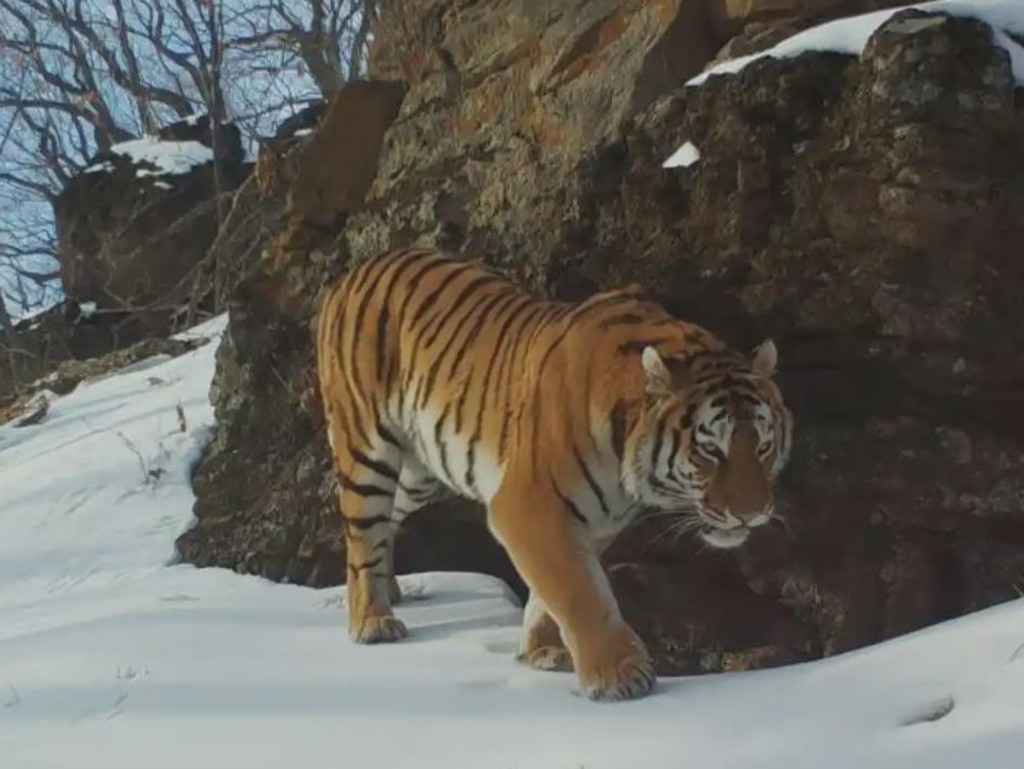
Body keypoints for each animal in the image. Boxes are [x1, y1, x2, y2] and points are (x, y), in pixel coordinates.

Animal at [315, 246, 794, 704]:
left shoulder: (595, 521)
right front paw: (618, 678)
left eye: (763, 447)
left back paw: (390, 591)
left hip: (420, 472)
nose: (752, 514)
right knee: (362, 535)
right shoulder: (528, 506)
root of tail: (357, 270)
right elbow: (579, 591)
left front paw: (542, 651)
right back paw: (373, 620)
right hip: (368, 448)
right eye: (711, 450)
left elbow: (552, 593)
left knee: (386, 523)